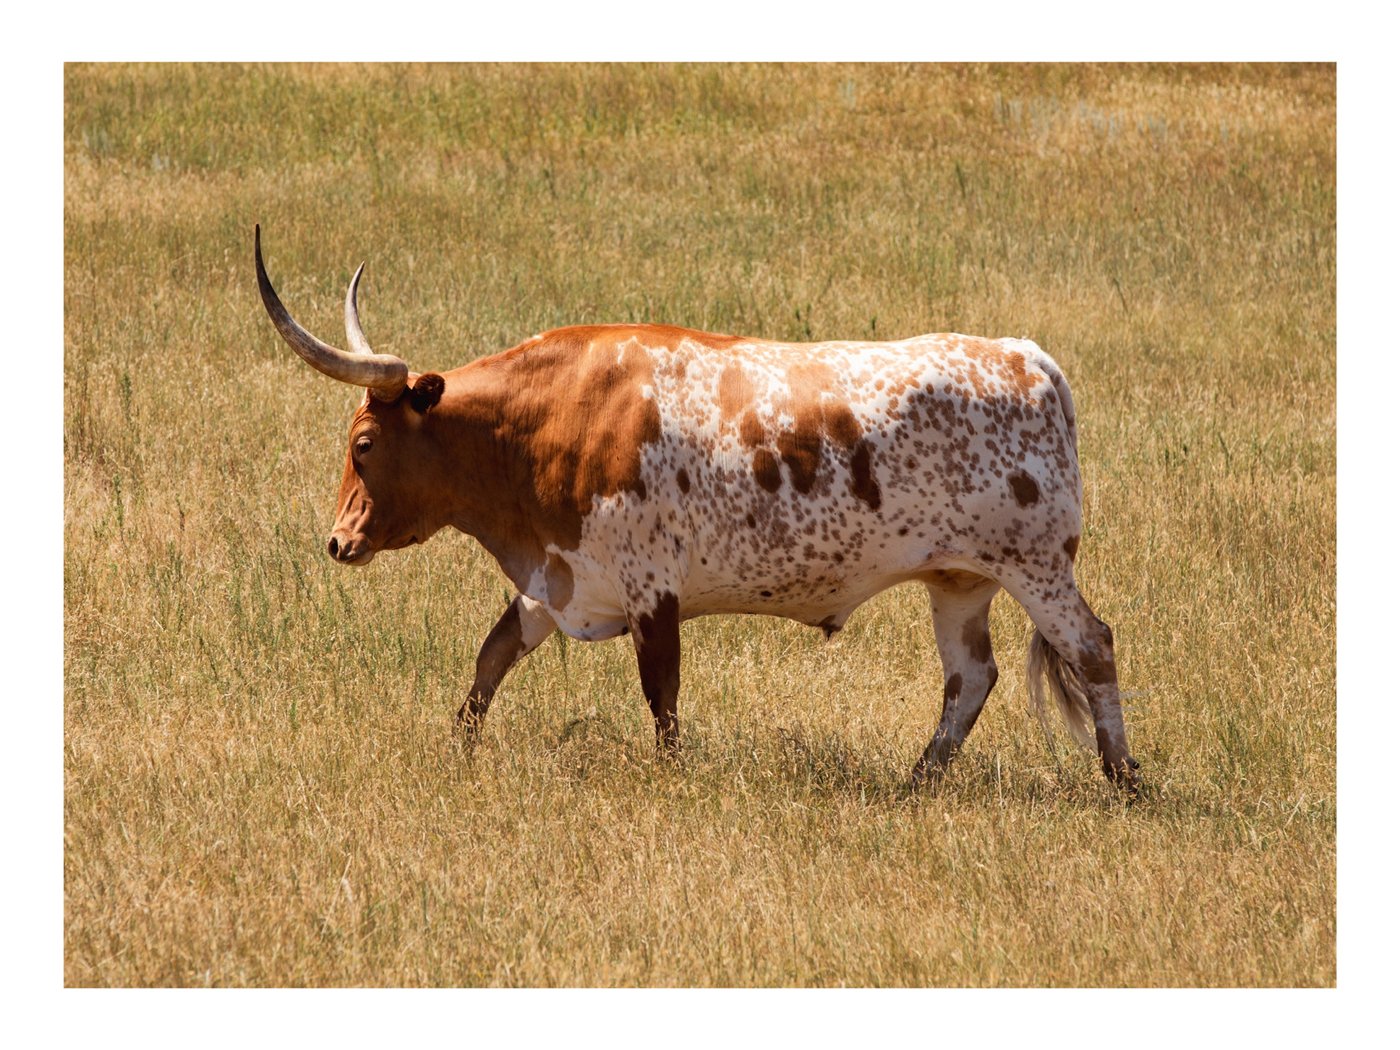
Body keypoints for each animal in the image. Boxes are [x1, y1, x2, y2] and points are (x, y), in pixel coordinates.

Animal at [254, 225, 1140, 795]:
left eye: (365, 441)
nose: (338, 541)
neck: (548, 421)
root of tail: (1026, 356)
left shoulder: (652, 586)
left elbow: (662, 695)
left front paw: (671, 781)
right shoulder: (560, 576)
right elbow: (490, 661)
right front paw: (458, 754)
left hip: (1034, 562)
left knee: (1091, 647)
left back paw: (1124, 780)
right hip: (959, 578)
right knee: (969, 679)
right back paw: (916, 784)